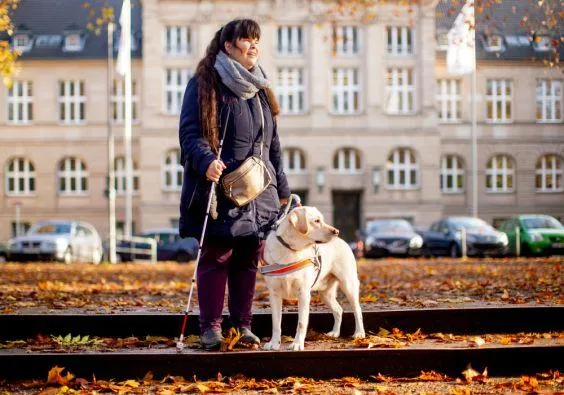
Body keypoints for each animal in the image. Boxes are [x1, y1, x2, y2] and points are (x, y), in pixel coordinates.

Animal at [262, 206, 366, 352]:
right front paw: (274, 344)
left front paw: (297, 344)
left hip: (348, 285)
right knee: (338, 310)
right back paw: (334, 333)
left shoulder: (304, 293)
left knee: (357, 310)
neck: (291, 250)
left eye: (322, 219)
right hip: (326, 294)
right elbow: (276, 323)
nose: (336, 231)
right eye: (316, 221)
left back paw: (359, 333)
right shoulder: (274, 294)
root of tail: (343, 241)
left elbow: (301, 322)